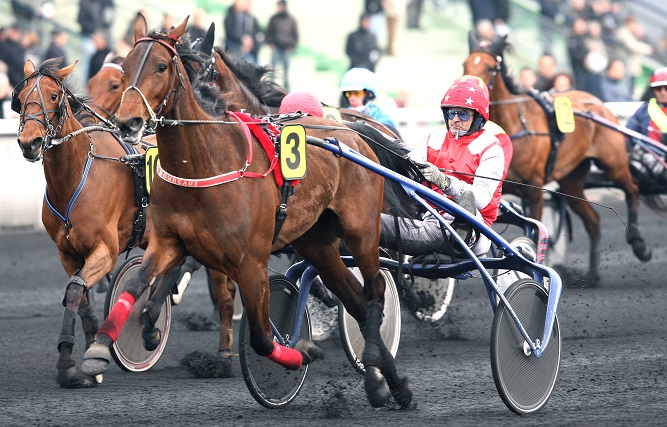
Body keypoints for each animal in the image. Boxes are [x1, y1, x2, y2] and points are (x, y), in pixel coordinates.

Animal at [13, 58, 155, 390]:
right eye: (21, 98)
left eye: (54, 96)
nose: (30, 143)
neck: (76, 176)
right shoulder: (68, 253)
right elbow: (79, 296)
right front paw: (87, 359)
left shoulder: (105, 251)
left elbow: (77, 289)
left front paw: (69, 365)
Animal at [82, 15, 418, 410]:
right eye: (125, 66)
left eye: (162, 66)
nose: (128, 122)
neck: (204, 161)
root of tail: (355, 136)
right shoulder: (169, 242)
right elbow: (136, 285)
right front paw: (102, 348)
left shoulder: (251, 262)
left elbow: (260, 335)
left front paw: (301, 352)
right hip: (317, 242)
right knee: (357, 301)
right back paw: (384, 384)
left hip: (361, 231)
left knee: (376, 291)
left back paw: (383, 368)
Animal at [464, 33, 652, 280]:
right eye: (465, 64)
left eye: (488, 68)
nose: (465, 88)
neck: (515, 126)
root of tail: (598, 104)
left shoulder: (534, 189)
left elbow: (535, 229)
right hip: (572, 180)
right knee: (593, 221)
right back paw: (592, 274)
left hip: (613, 163)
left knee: (633, 189)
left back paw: (640, 245)